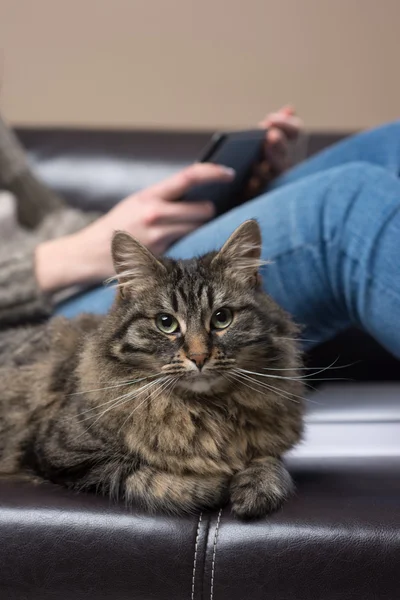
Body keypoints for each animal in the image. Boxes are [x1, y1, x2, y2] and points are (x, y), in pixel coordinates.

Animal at [0, 223, 304, 516]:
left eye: (222, 318)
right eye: (166, 323)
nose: (199, 357)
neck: (205, 411)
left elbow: (270, 461)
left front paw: (256, 487)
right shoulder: (59, 453)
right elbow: (140, 473)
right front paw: (212, 484)